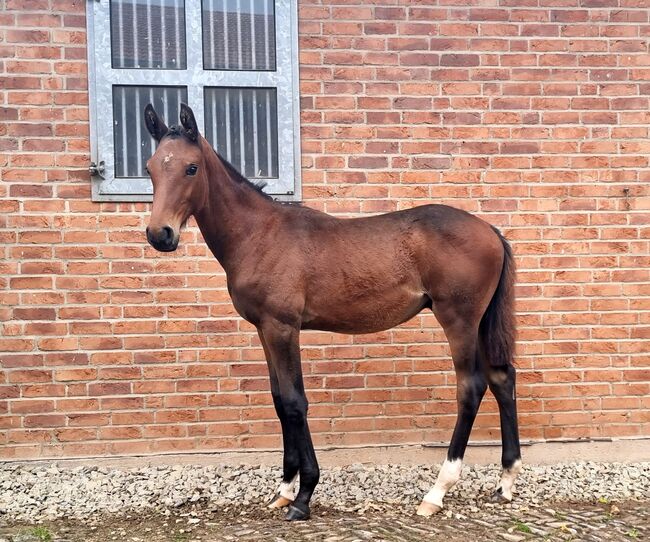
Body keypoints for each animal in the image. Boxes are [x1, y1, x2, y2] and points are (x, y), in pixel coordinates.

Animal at [143, 103, 522, 521]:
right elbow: (279, 401)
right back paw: (505, 482)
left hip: (460, 321)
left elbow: (295, 402)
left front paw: (304, 495)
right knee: (502, 379)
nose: (160, 235)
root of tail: (490, 230)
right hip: (480, 323)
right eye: (150, 167)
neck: (259, 235)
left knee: (470, 388)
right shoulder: (264, 329)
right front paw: (284, 489)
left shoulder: (282, 327)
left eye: (191, 168)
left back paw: (437, 492)